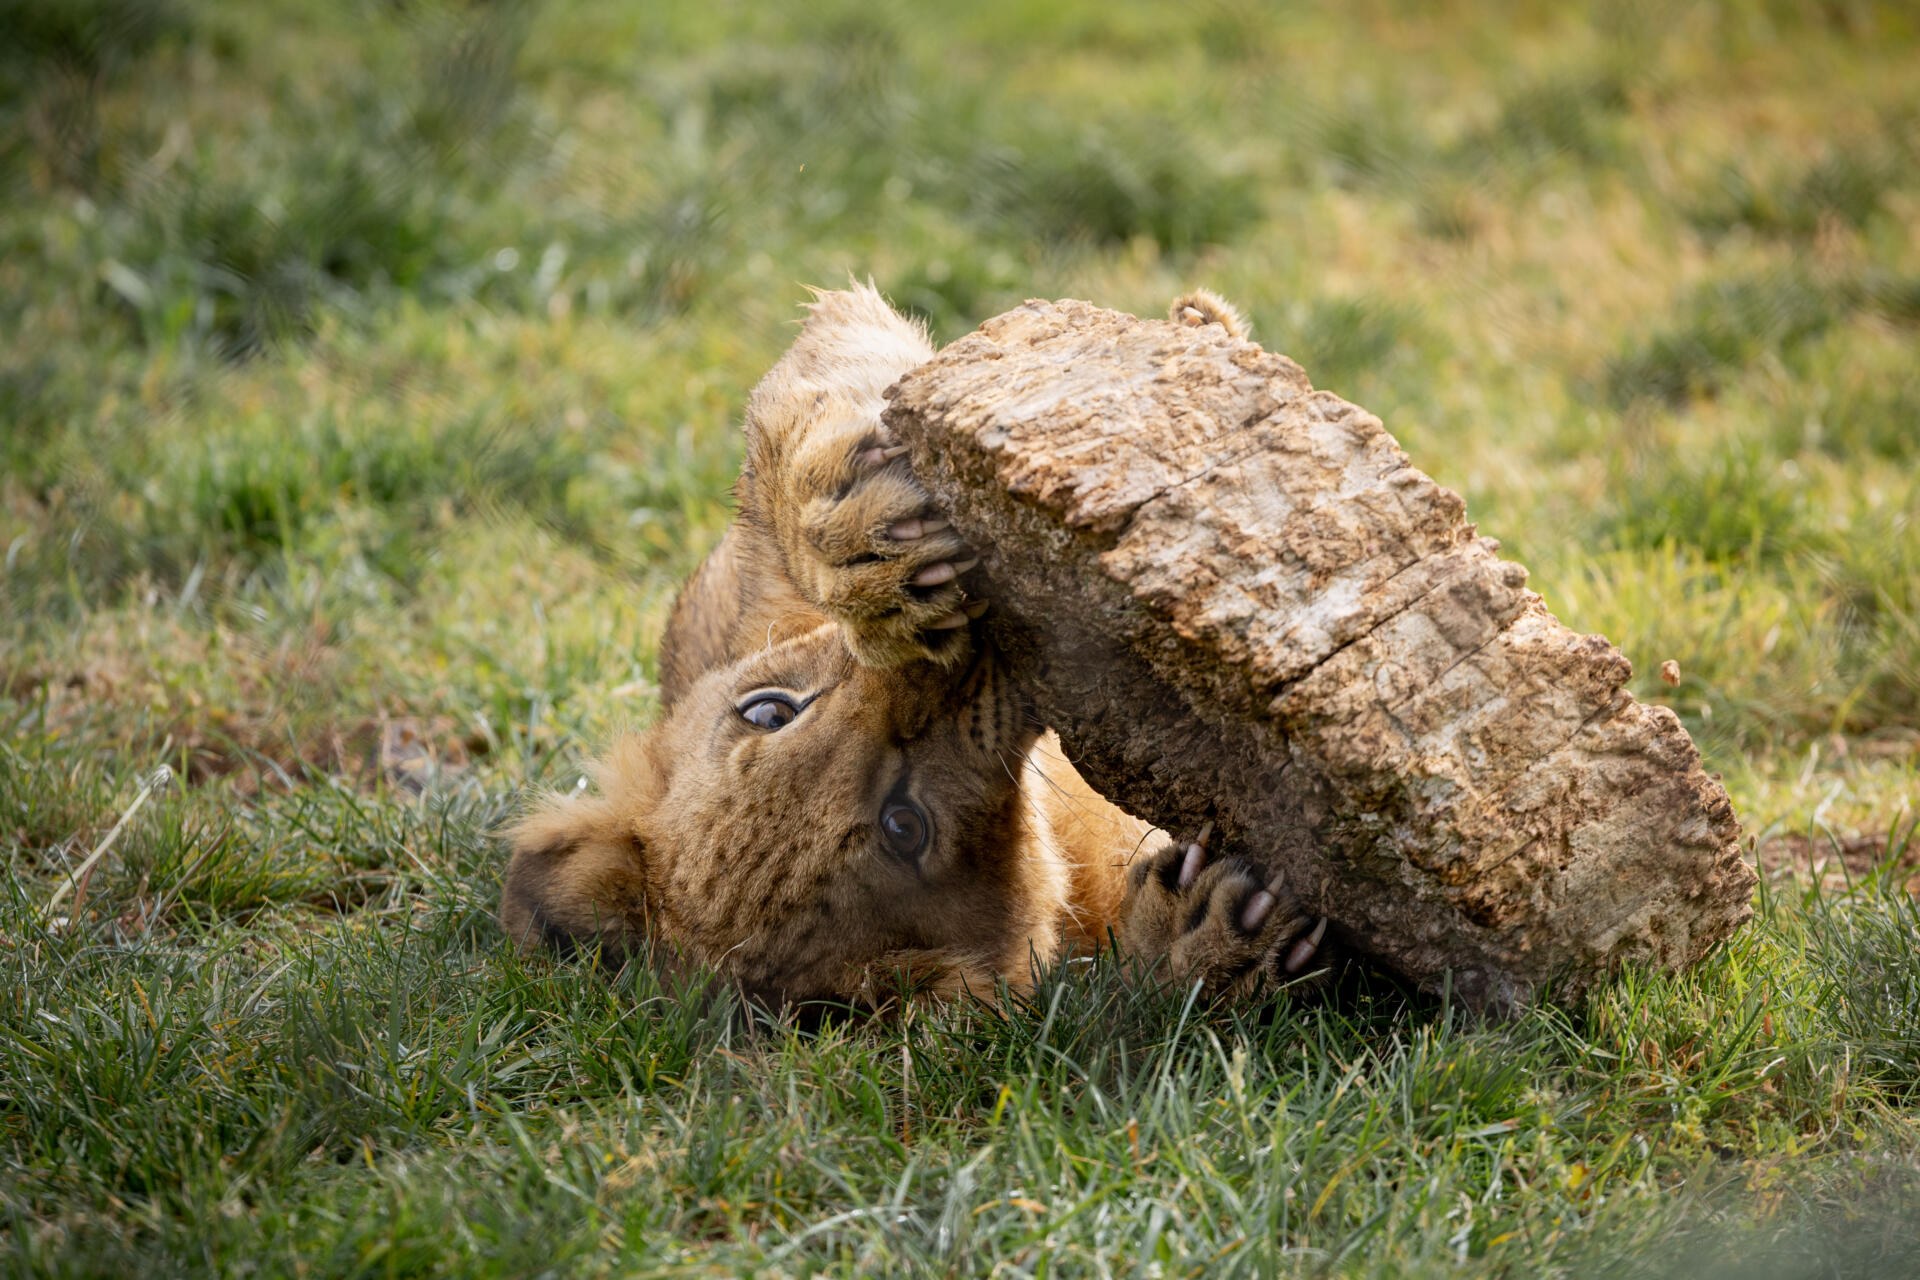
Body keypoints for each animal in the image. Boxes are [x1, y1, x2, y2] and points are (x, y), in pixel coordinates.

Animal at [500, 283, 1328, 1009]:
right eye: (904, 827)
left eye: (768, 711)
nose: (945, 667)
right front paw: (1200, 944)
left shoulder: (740, 582)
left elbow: (796, 417)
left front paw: (863, 546)